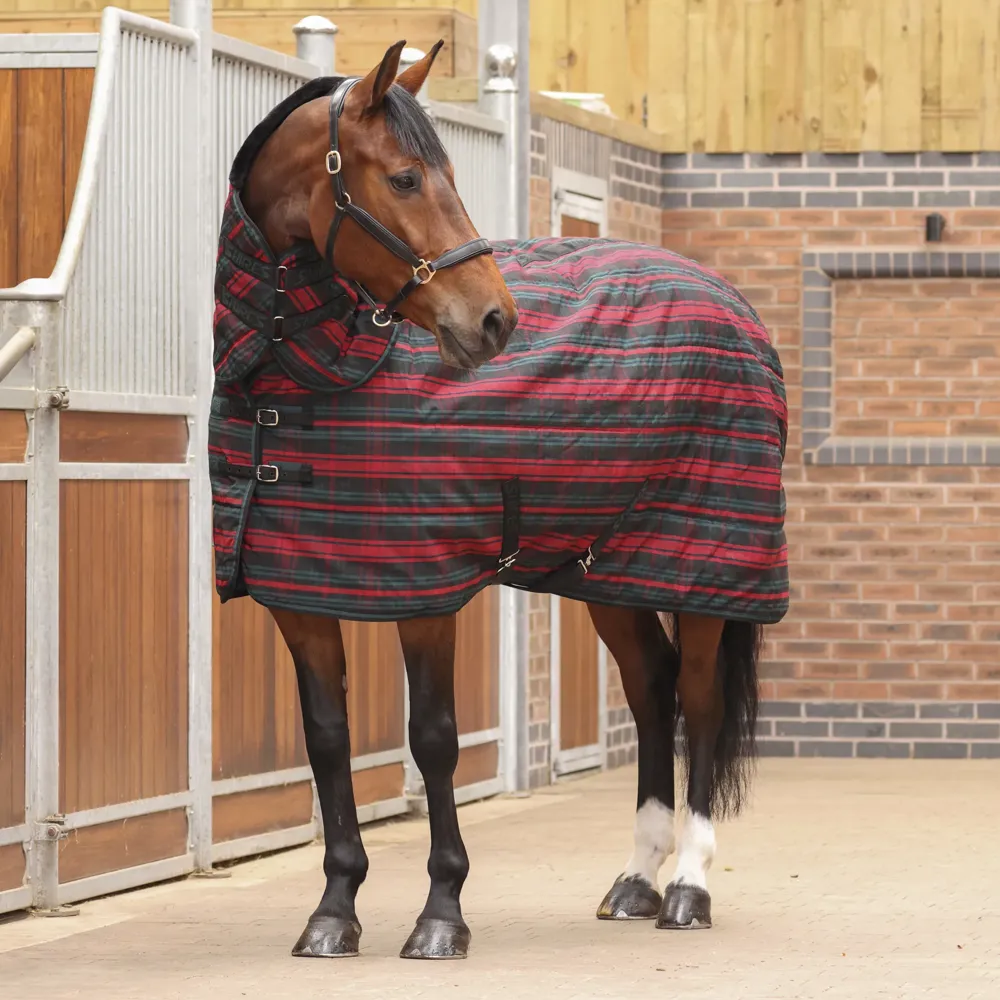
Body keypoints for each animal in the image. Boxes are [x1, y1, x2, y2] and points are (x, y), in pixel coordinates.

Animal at [211, 40, 788, 960]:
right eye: (405, 177)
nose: (493, 321)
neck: (314, 379)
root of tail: (730, 302)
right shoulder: (298, 598)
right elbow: (328, 742)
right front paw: (333, 911)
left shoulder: (426, 594)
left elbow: (435, 740)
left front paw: (441, 914)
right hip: (610, 575)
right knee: (651, 689)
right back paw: (635, 880)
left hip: (704, 569)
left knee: (695, 696)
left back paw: (689, 887)